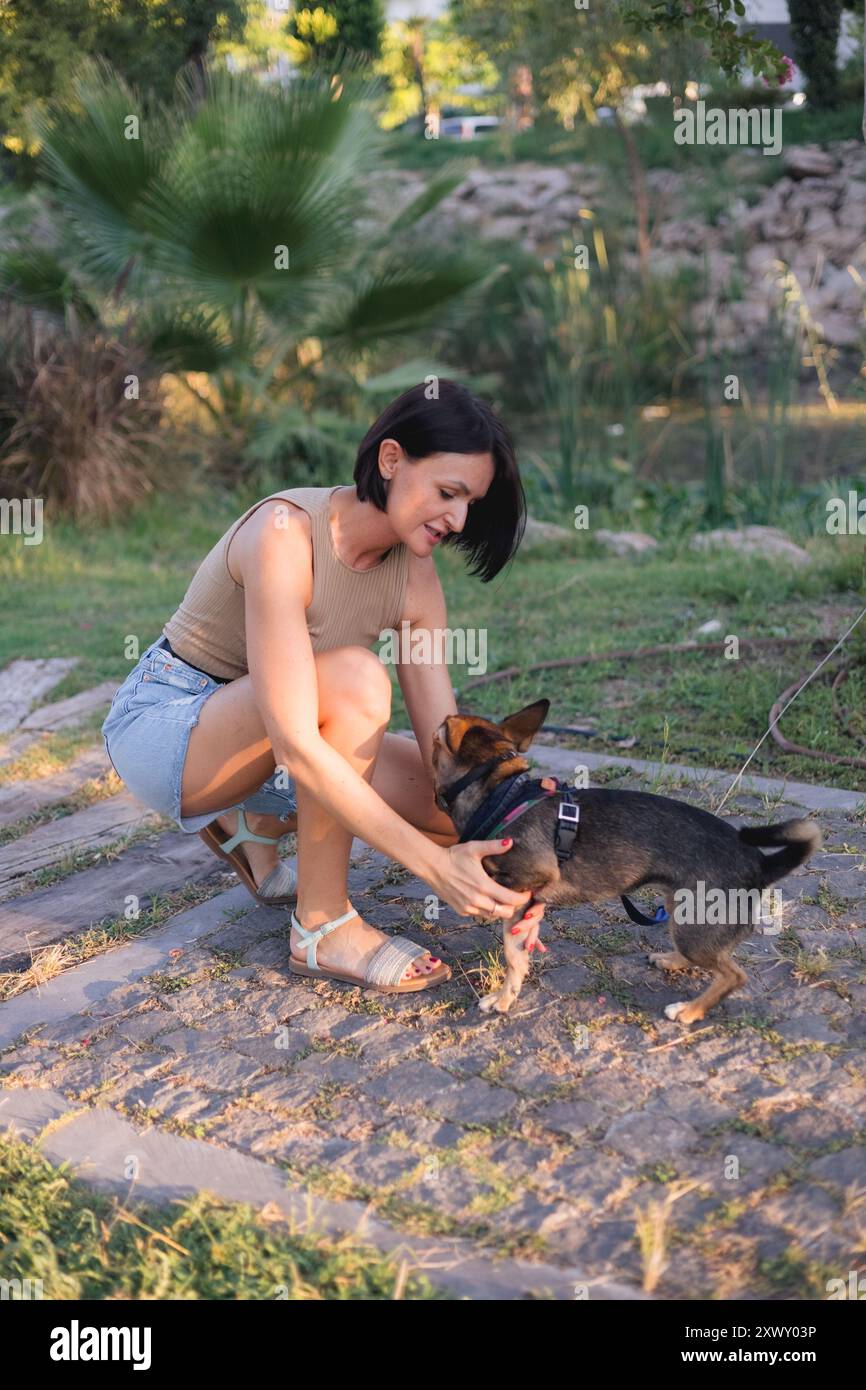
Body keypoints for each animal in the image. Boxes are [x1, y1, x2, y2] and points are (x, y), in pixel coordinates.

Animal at [430, 700, 822, 1028]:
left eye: (434, 742)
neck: (503, 796)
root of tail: (761, 864)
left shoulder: (525, 883)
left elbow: (512, 954)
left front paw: (502, 999)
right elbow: (519, 953)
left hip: (694, 925)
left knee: (733, 975)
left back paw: (689, 1010)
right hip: (682, 909)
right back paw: (672, 961)